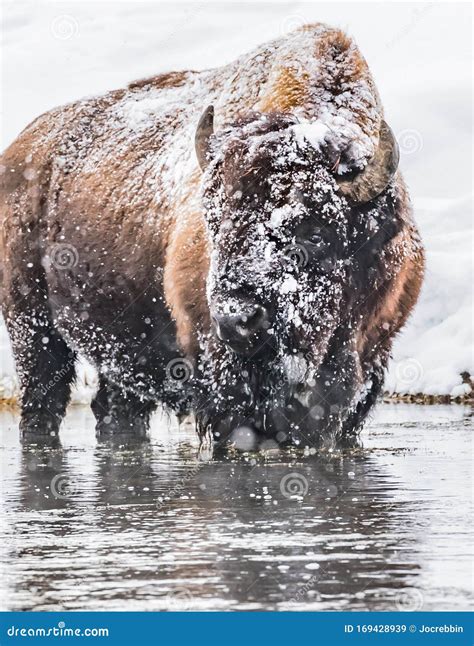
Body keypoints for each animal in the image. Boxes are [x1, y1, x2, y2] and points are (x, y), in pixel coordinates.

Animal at [0, 24, 422, 450]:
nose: (237, 319)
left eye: (316, 233)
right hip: (31, 326)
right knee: (42, 402)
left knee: (116, 409)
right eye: (215, 223)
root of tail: (20, 149)